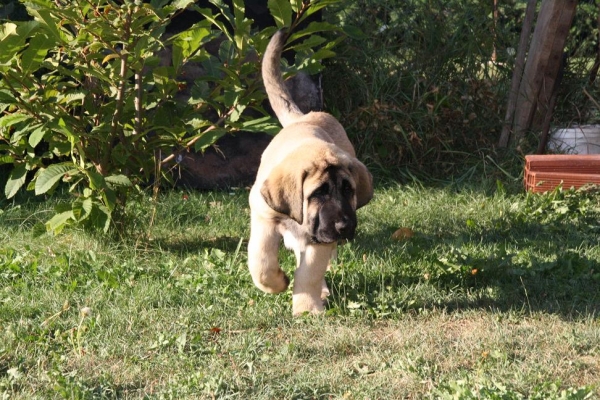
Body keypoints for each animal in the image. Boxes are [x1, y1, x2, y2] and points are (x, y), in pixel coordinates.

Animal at [247, 29, 370, 316]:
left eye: (348, 190)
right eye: (317, 193)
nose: (345, 226)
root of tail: (304, 117)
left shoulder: (320, 238)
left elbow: (310, 272)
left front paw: (306, 309)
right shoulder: (263, 217)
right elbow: (261, 263)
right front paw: (277, 282)